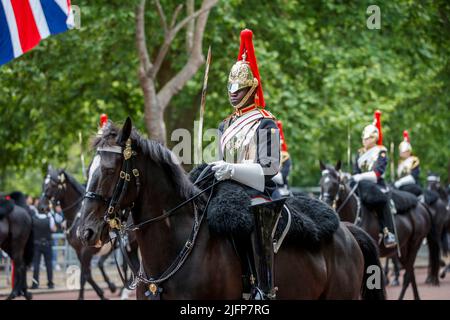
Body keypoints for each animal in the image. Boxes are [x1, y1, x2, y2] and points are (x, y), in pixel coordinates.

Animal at [38, 168, 139, 300]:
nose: (41, 207)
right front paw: (105, 290)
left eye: (53, 185)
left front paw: (99, 294)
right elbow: (87, 274)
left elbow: (85, 275)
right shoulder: (79, 252)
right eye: (43, 184)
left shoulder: (87, 251)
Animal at [318, 162, 438, 300]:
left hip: (415, 243)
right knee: (410, 272)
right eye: (321, 183)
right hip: (404, 248)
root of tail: (420, 204)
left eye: (336, 182)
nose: (325, 203)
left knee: (408, 275)